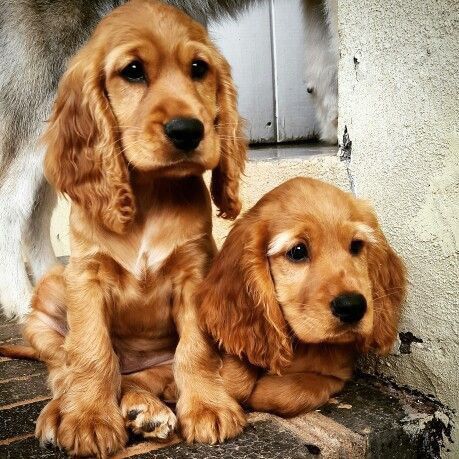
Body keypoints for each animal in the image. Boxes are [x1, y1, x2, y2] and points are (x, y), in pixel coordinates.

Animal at [0, 0, 248, 456]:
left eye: (198, 68)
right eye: (133, 71)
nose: (188, 131)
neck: (148, 194)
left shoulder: (195, 275)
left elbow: (196, 350)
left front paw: (208, 407)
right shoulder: (86, 278)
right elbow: (92, 353)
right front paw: (88, 420)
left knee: (139, 377)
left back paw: (144, 408)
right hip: (48, 300)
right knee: (66, 370)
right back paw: (62, 413)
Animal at [199, 178, 408, 418]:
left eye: (356, 245)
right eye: (298, 251)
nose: (352, 307)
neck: (301, 344)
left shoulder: (337, 373)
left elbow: (290, 391)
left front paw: (264, 388)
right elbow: (236, 373)